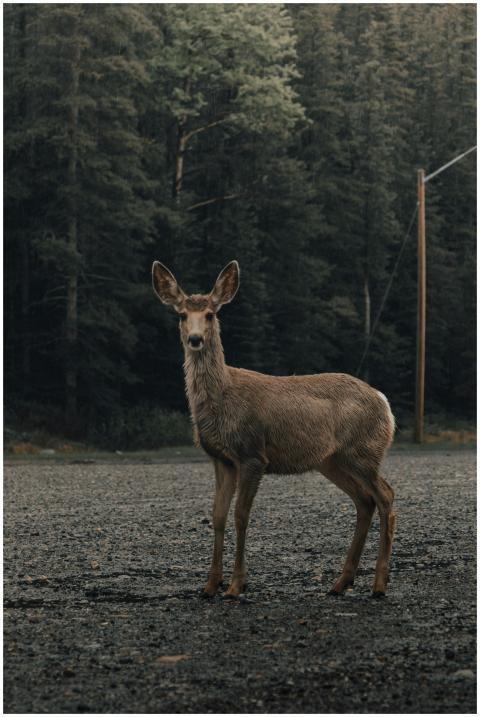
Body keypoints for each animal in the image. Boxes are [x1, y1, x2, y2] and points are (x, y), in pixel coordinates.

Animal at [152, 259, 396, 599]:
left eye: (211, 314)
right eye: (182, 314)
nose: (195, 339)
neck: (223, 397)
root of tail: (384, 401)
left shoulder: (253, 453)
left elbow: (241, 515)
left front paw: (236, 585)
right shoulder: (220, 459)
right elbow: (217, 515)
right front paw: (210, 585)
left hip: (363, 452)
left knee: (386, 496)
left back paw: (379, 584)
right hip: (332, 461)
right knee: (364, 500)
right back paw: (340, 582)